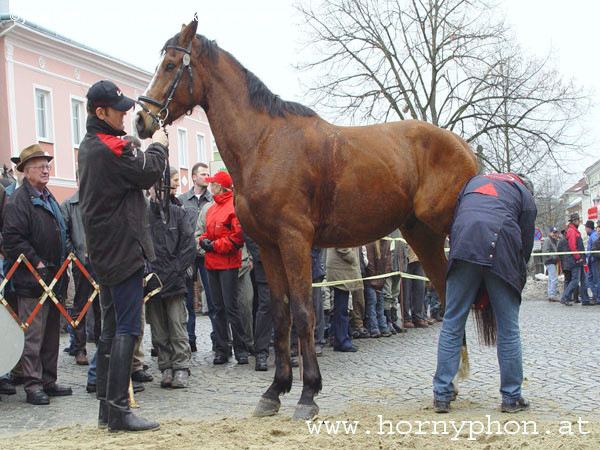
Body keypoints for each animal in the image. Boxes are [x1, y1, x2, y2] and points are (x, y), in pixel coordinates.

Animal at [136, 19, 478, 420]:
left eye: (171, 65)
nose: (141, 119)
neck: (265, 142)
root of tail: (464, 147)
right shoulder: (269, 246)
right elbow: (281, 314)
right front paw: (275, 391)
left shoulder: (294, 240)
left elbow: (303, 313)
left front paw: (308, 394)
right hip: (422, 235)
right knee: (449, 297)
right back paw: (450, 385)